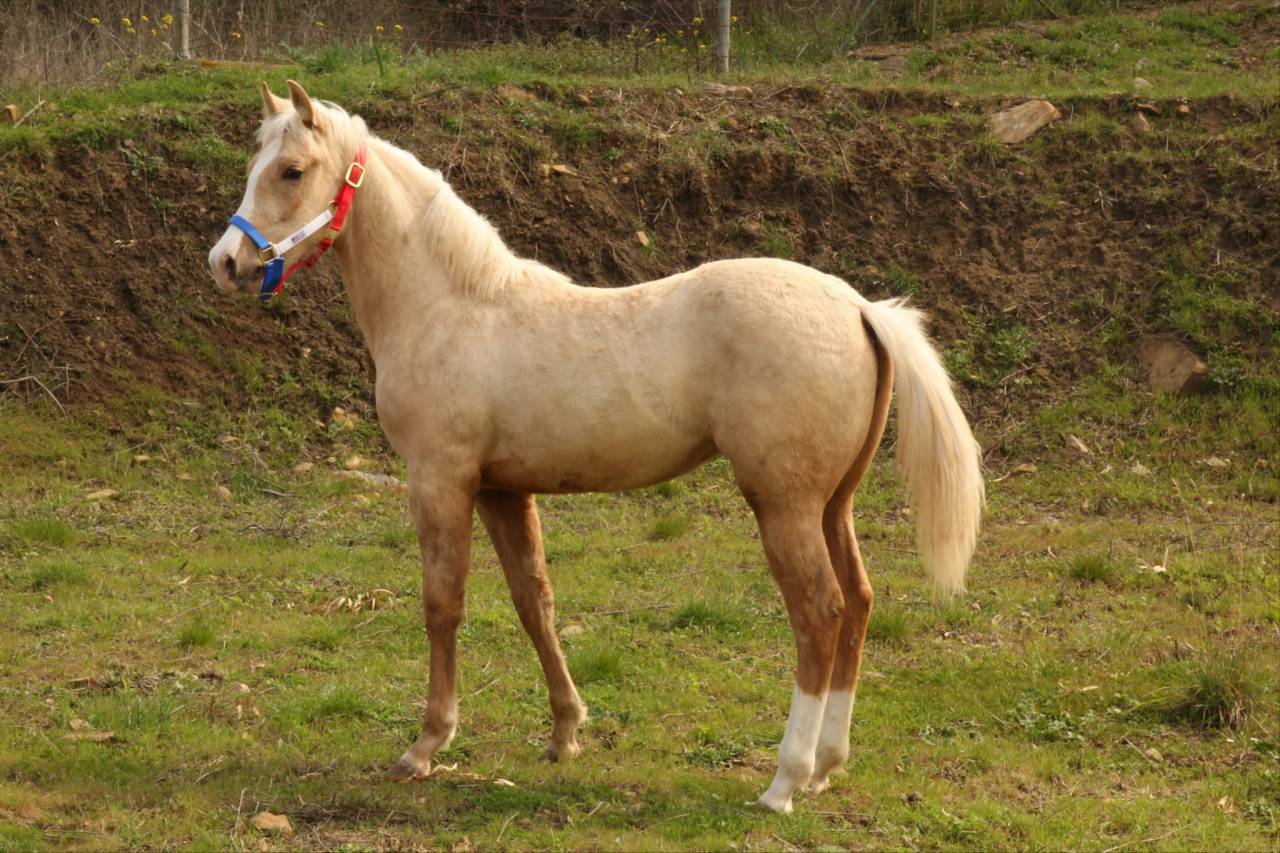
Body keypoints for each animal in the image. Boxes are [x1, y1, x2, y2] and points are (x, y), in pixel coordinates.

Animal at [208, 81, 984, 814]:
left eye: (291, 171)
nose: (226, 261)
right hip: (832, 506)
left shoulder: (441, 481)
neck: (452, 305)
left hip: (784, 507)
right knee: (858, 601)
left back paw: (784, 780)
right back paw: (825, 767)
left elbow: (442, 604)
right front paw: (565, 731)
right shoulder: (502, 490)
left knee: (820, 612)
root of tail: (858, 306)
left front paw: (427, 745)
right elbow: (534, 602)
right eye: (255, 164)